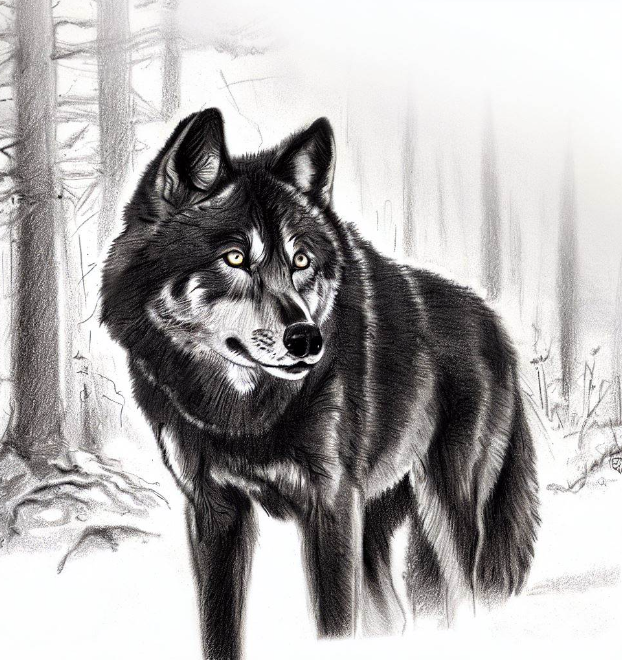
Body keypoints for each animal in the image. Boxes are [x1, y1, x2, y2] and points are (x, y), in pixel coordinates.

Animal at [101, 108, 539, 659]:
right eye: (235, 258)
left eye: (301, 261)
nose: (307, 338)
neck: (243, 414)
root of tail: (495, 324)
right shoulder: (215, 511)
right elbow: (219, 630)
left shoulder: (329, 503)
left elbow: (334, 624)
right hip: (374, 523)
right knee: (396, 616)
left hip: (444, 512)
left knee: (465, 600)